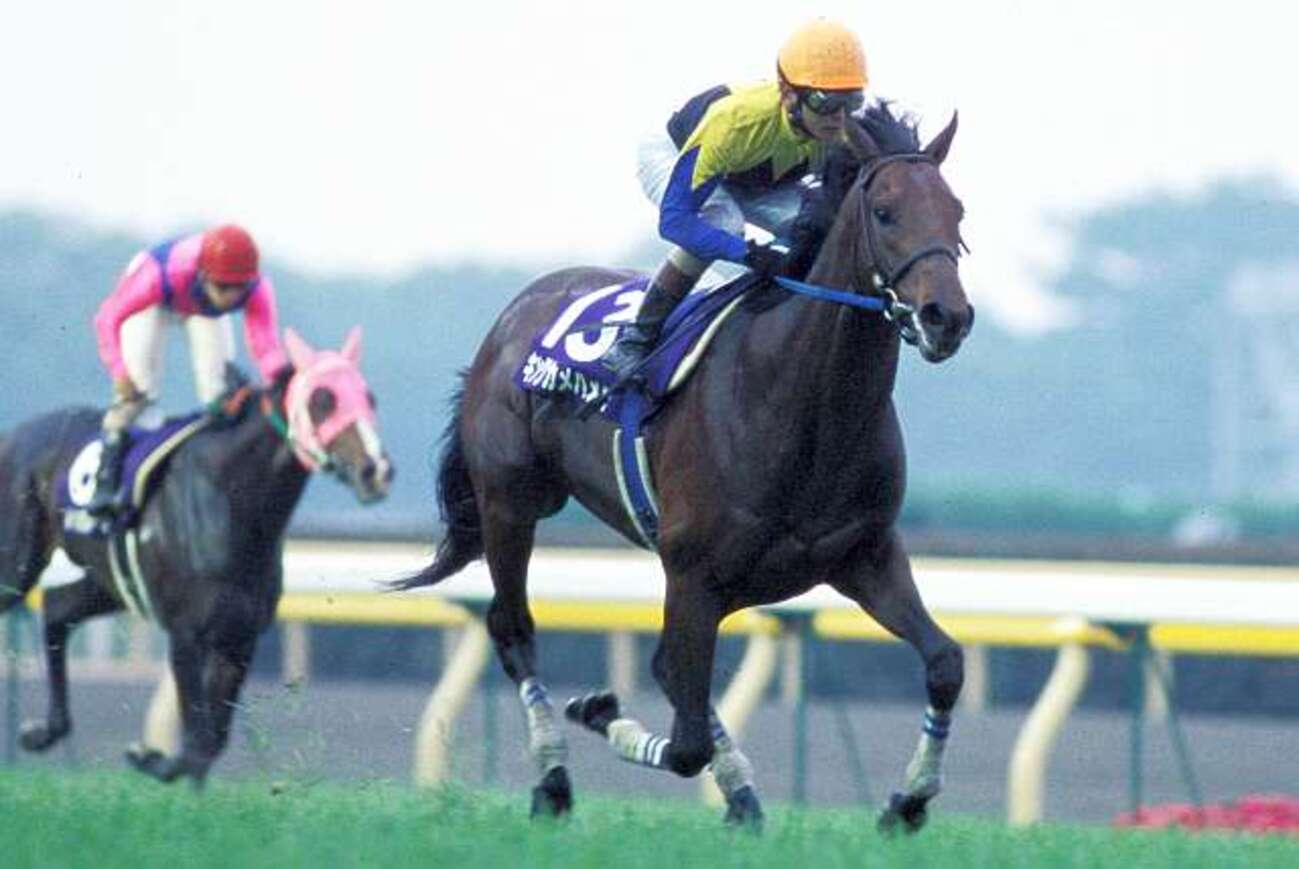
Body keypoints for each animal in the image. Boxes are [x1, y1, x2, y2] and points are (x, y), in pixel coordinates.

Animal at [0, 326, 393, 785]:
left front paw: (160, 764)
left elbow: (210, 744)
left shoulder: (238, 637)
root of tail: (14, 434)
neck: (231, 501)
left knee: (58, 608)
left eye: (370, 398)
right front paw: (152, 757)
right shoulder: (186, 633)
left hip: (110, 582)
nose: (376, 470)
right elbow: (195, 741)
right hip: (16, 563)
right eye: (322, 400)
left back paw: (45, 730)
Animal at [395, 104, 973, 831]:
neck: (802, 402)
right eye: (887, 212)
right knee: (513, 628)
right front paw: (600, 711)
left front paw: (907, 800)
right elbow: (686, 740)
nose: (946, 317)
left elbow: (944, 663)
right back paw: (553, 781)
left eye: (957, 210)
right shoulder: (695, 573)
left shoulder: (863, 555)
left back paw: (740, 798)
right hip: (510, 502)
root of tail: (516, 311)